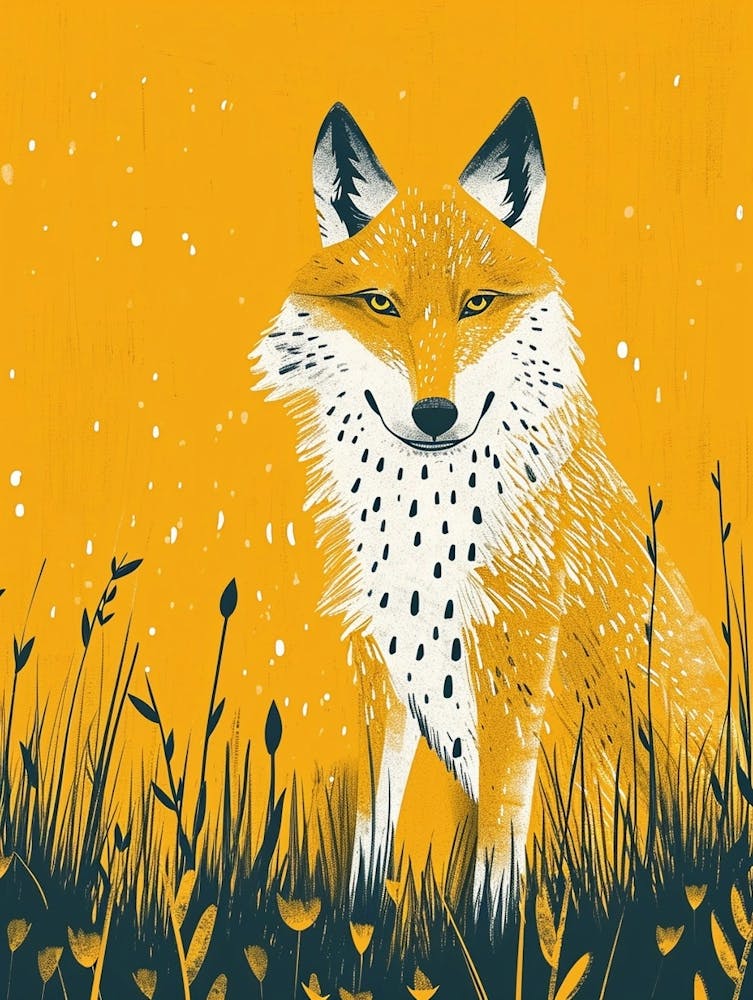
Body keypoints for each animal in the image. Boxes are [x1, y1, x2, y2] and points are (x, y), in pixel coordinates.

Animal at [252, 98, 725, 915]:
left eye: (477, 304)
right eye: (381, 304)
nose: (435, 414)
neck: (423, 523)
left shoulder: (518, 652)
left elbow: (502, 826)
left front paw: (493, 929)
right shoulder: (382, 655)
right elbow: (373, 816)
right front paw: (359, 922)